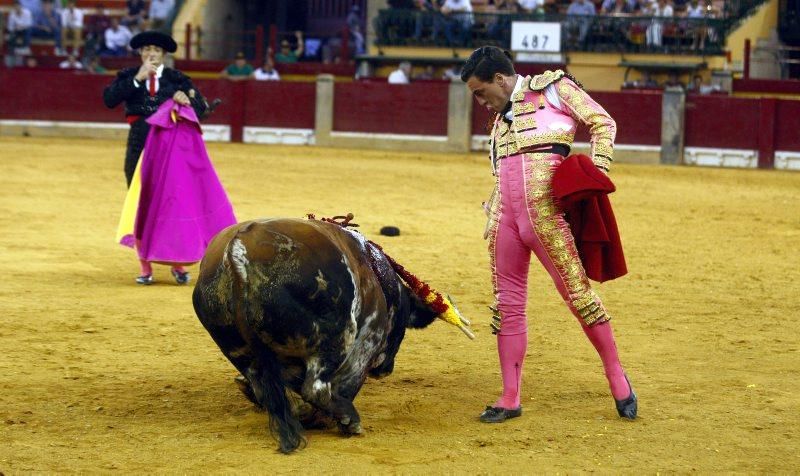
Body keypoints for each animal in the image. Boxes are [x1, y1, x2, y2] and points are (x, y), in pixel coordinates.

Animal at [191, 218, 472, 452]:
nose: (386, 369)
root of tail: (237, 253)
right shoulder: (367, 340)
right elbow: (346, 383)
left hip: (238, 350)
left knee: (263, 386)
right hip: (335, 340)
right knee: (316, 387)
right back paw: (349, 420)